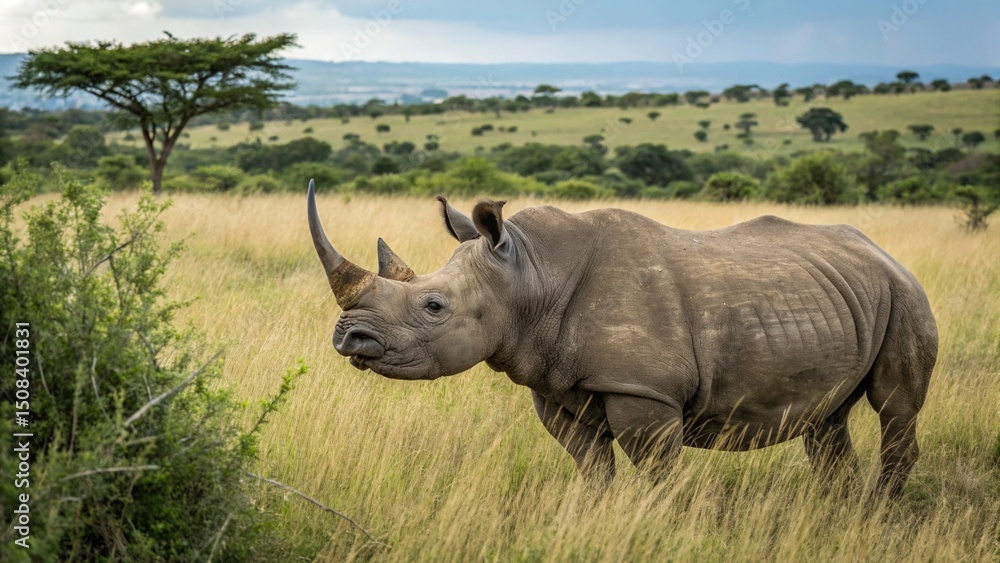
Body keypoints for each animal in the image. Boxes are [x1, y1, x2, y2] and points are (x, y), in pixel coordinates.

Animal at [307, 181, 937, 497]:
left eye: (434, 306)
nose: (348, 338)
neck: (530, 274)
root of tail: (882, 252)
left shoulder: (644, 392)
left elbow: (658, 475)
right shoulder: (556, 386)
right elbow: (593, 471)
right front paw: (596, 518)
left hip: (905, 293)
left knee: (894, 406)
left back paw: (880, 514)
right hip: (844, 297)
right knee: (828, 420)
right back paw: (836, 512)